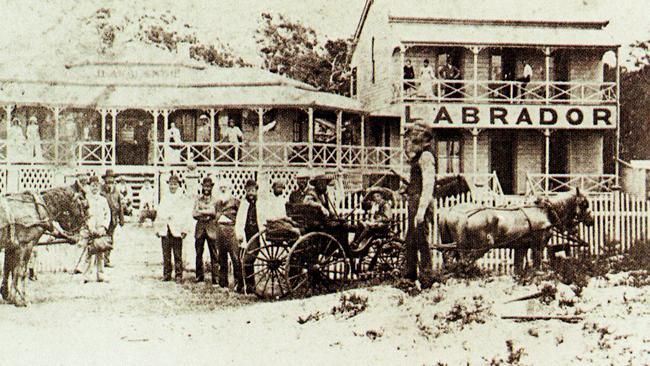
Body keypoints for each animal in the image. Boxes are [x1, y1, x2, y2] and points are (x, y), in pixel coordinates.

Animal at [436, 189, 592, 274]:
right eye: (584, 204)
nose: (591, 220)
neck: (545, 211)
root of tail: (450, 212)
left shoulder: (521, 247)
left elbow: (518, 266)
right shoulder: (538, 243)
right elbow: (537, 262)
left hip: (451, 243)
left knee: (449, 258)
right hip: (475, 246)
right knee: (462, 261)